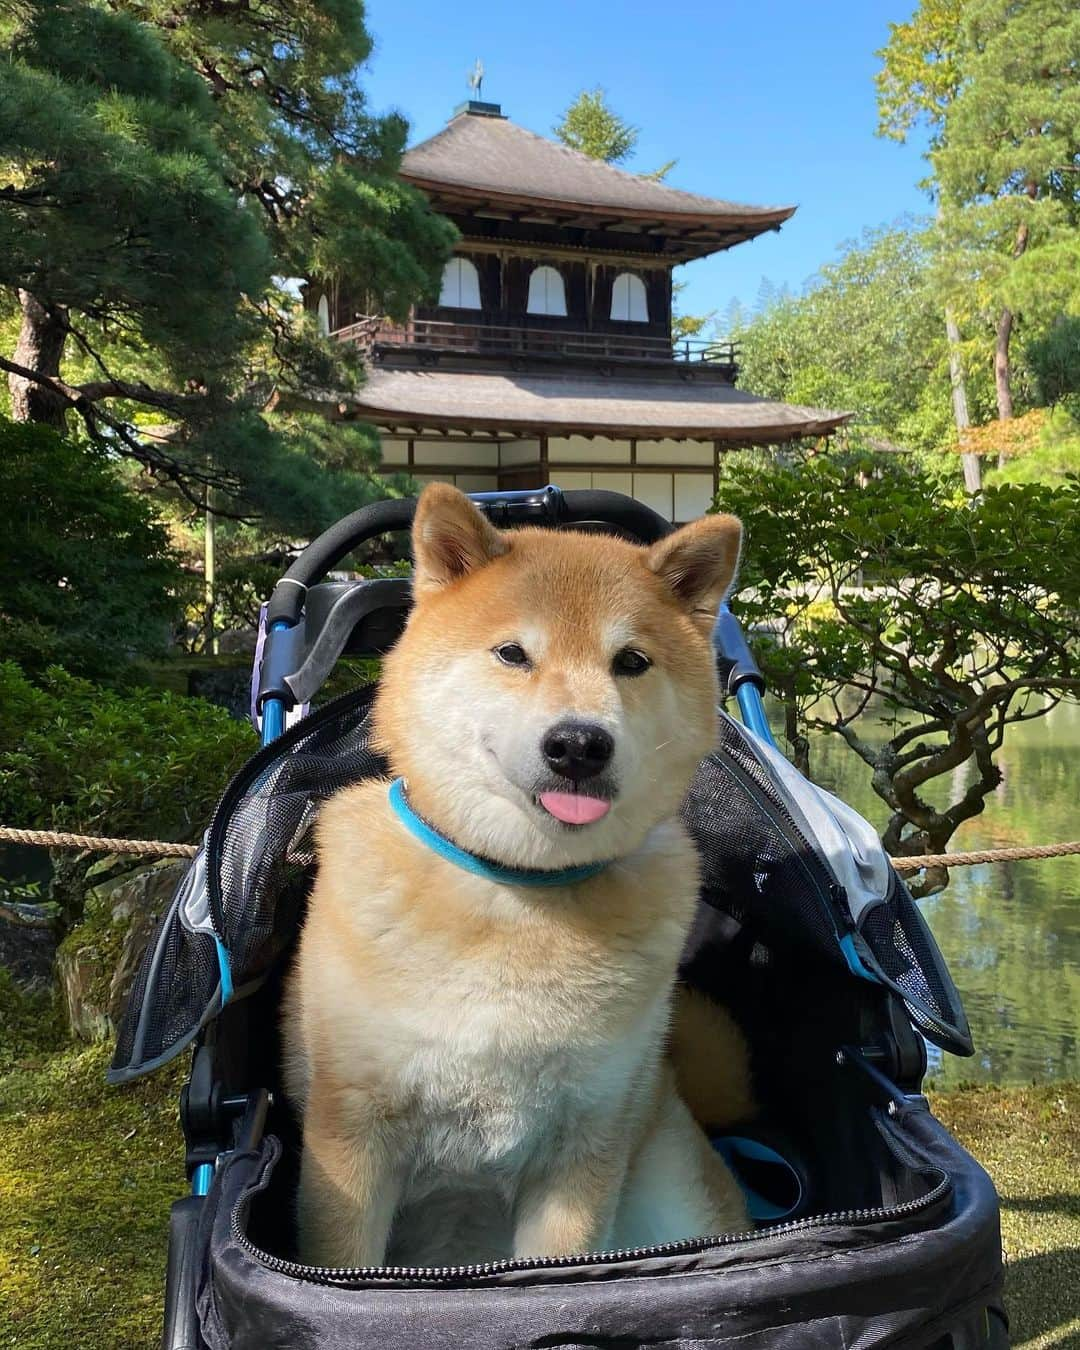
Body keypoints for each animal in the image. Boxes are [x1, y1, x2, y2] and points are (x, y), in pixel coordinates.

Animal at [282, 491, 756, 1269]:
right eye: (512, 654)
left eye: (631, 661)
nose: (579, 744)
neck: (520, 890)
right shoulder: (351, 1132)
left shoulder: (585, 1144)